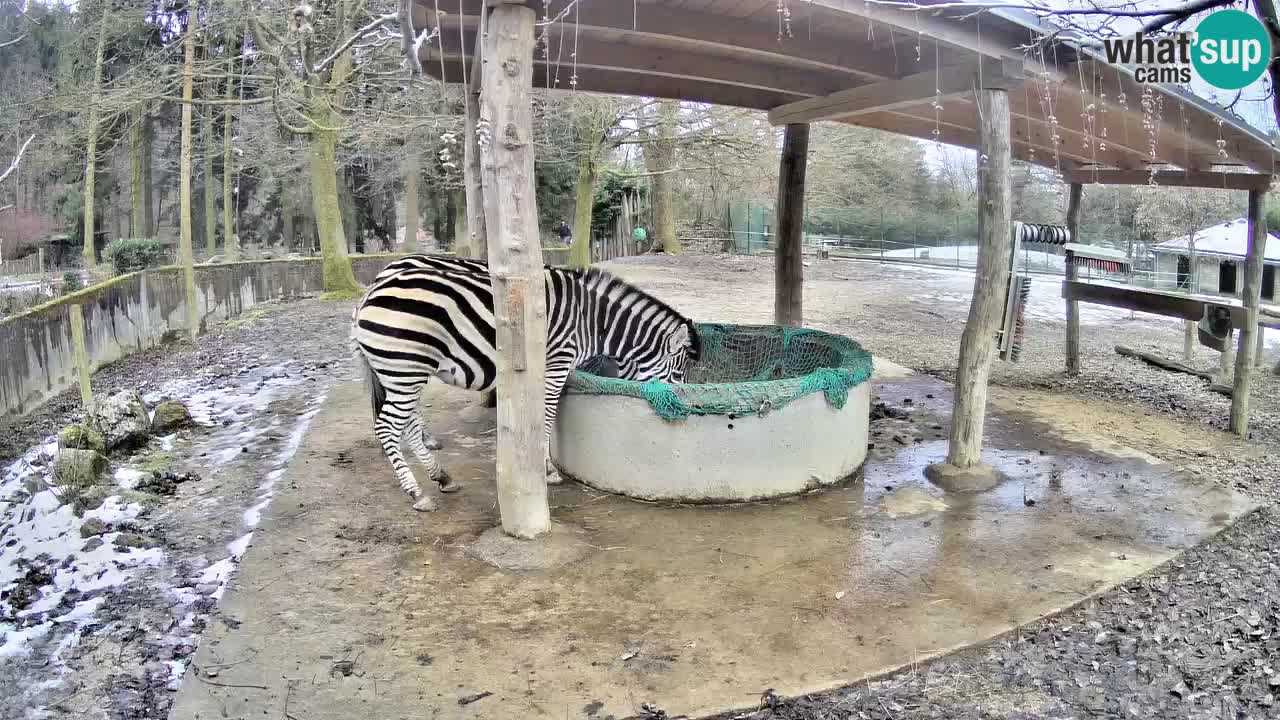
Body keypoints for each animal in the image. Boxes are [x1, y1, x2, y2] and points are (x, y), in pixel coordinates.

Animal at [348, 263, 701, 509]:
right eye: (678, 376)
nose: (684, 408)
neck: (590, 321)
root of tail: (368, 294)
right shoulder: (556, 363)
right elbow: (546, 417)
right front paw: (547, 470)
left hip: (400, 372)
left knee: (406, 424)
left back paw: (441, 476)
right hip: (405, 367)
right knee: (387, 427)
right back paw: (417, 493)